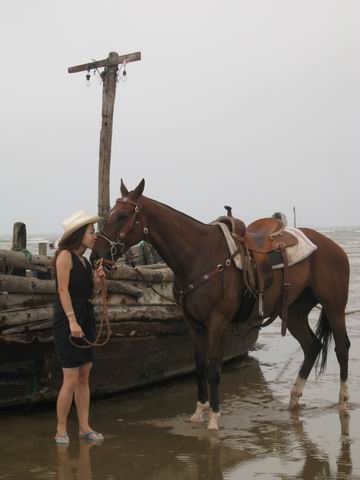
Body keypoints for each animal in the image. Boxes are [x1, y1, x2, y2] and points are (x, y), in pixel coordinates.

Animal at [91, 181, 350, 432]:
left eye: (122, 216)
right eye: (110, 213)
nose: (95, 256)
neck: (198, 256)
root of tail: (332, 246)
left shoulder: (217, 321)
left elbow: (214, 369)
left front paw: (214, 418)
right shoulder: (192, 323)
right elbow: (200, 367)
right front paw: (199, 413)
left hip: (334, 307)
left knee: (342, 347)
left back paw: (343, 400)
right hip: (295, 311)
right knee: (312, 346)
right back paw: (294, 398)